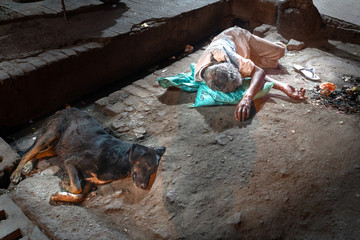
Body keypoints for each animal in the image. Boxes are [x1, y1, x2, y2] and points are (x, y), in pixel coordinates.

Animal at [10, 108, 166, 203]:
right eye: (146, 164)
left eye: (153, 171)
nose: (144, 187)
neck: (119, 159)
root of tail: (65, 109)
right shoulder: (70, 162)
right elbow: (77, 187)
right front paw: (66, 185)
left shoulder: (90, 181)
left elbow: (79, 196)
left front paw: (59, 195)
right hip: (50, 134)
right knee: (27, 153)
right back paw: (17, 173)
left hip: (58, 146)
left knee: (38, 153)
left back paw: (28, 166)